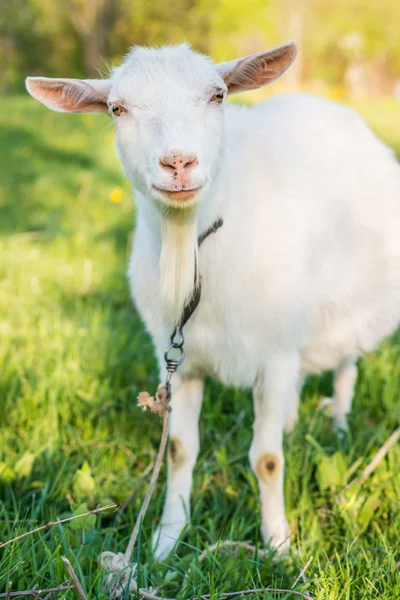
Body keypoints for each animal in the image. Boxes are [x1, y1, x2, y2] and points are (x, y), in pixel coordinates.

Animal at [26, 41, 400, 556]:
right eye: (117, 108)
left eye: (217, 95)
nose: (178, 163)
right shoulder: (181, 362)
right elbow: (179, 451)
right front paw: (165, 541)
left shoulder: (276, 354)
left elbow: (266, 459)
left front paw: (278, 546)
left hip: (344, 311)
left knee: (346, 364)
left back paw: (339, 422)